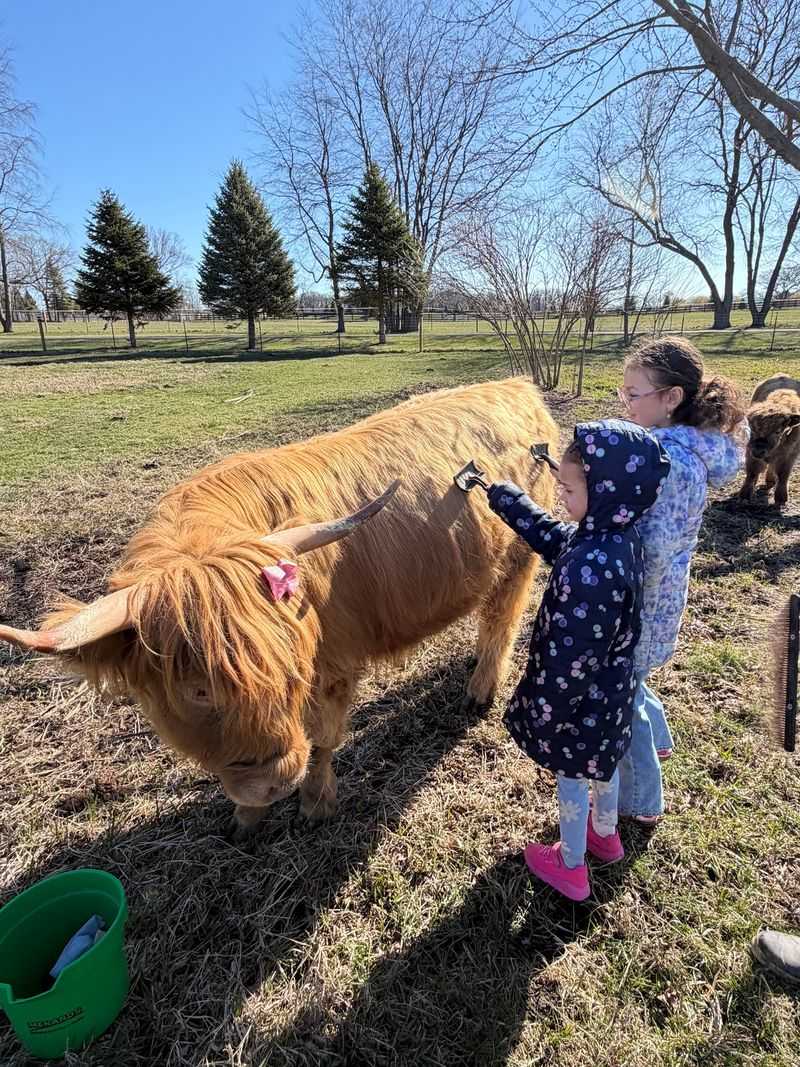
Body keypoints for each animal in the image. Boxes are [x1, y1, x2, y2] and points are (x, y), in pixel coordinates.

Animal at [1, 378, 557, 834]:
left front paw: (314, 803)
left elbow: (324, 736)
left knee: (502, 620)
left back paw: (480, 689)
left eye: (291, 670)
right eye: (196, 690)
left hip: (518, 559)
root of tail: (517, 386)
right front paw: (247, 816)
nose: (276, 781)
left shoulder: (334, 665)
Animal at [739, 375, 800, 506]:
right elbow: (752, 472)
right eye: (751, 428)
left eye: (778, 431)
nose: (759, 450)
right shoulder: (750, 452)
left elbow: (783, 475)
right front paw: (745, 495)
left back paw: (770, 480)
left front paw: (781, 498)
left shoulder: (790, 455)